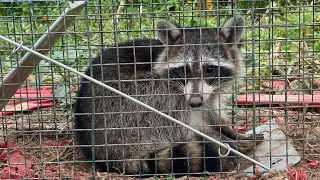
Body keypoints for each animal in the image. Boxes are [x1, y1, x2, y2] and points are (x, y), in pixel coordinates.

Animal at [74, 16, 264, 176]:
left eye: (210, 69)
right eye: (183, 70)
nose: (194, 102)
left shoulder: (210, 94)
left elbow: (212, 114)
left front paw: (230, 132)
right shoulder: (176, 92)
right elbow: (188, 123)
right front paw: (219, 137)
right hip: (124, 105)